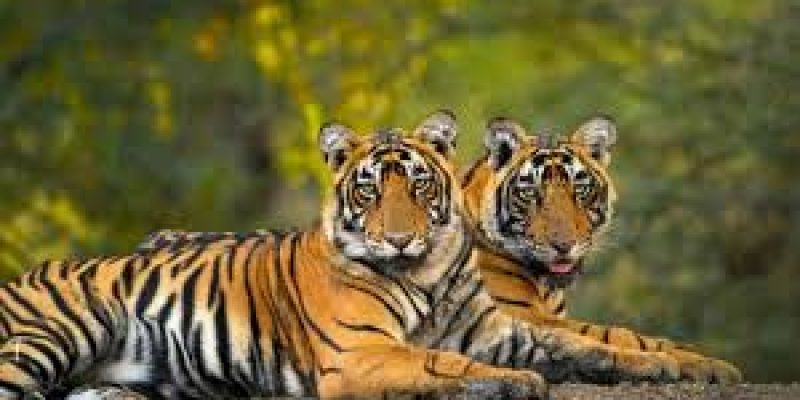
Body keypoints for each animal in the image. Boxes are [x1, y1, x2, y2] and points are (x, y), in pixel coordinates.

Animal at [0, 111, 687, 400]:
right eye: (369, 189)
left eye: (418, 185)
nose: (401, 238)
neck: (426, 272)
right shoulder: (360, 352)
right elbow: (442, 363)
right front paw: (513, 383)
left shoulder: (503, 330)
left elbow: (592, 341)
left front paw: (679, 365)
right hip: (59, 331)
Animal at [461, 115, 743, 384]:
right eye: (530, 193)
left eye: (580, 189)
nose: (563, 245)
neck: (547, 286)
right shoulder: (518, 314)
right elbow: (615, 335)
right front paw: (700, 363)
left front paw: (703, 359)